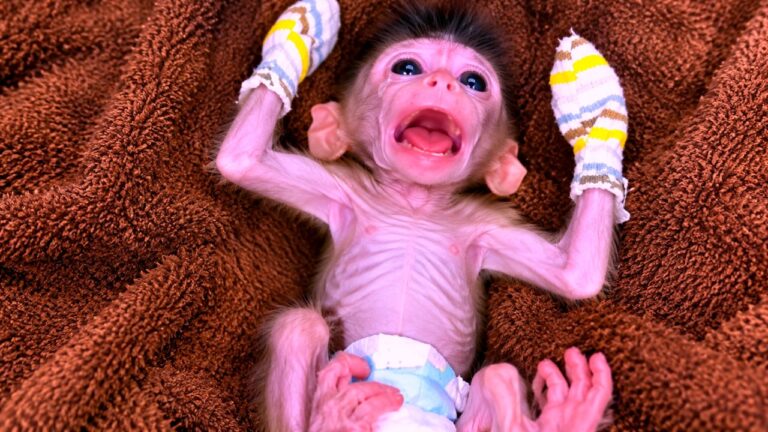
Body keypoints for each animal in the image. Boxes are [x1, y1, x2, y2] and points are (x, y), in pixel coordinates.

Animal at [216, 1, 629, 431]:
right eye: (408, 68)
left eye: (472, 81)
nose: (442, 82)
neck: (415, 203)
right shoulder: (344, 192)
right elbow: (241, 161)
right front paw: (299, 37)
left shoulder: (485, 226)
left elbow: (576, 275)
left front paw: (595, 116)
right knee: (299, 327)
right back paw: (332, 416)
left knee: (497, 376)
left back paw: (568, 416)